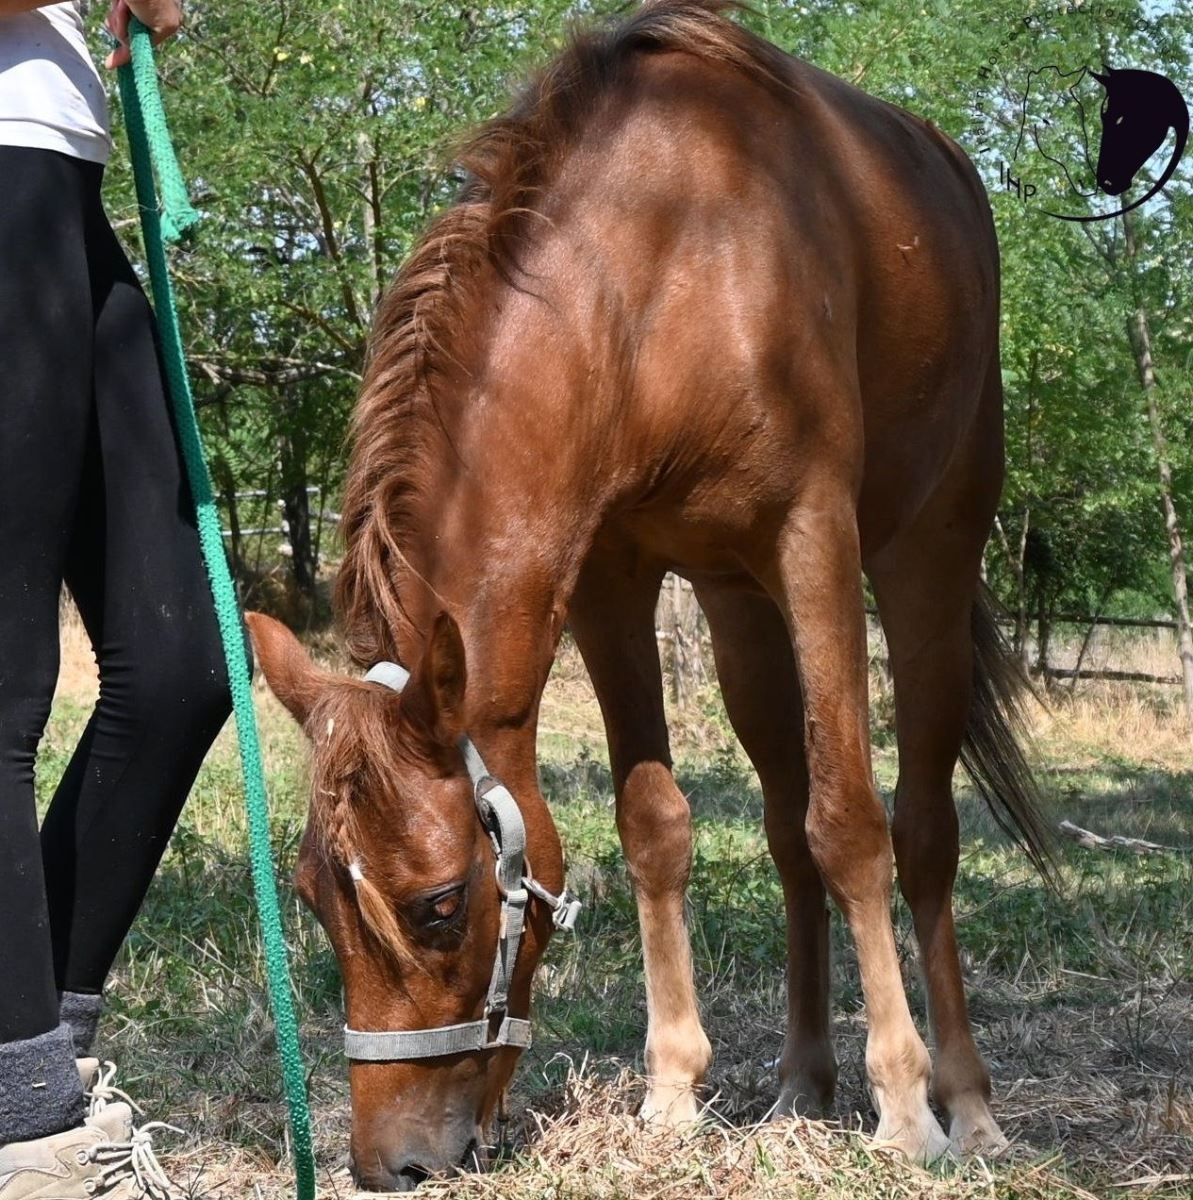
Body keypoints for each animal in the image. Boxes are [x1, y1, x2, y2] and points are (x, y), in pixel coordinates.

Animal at [247, 1, 1053, 1189]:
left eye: (438, 905)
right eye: (309, 894)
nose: (388, 1165)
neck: (660, 272)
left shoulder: (813, 540)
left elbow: (851, 825)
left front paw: (903, 1106)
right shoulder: (610, 579)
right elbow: (655, 825)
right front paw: (672, 1090)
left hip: (924, 566)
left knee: (917, 829)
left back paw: (967, 1103)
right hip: (735, 605)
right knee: (781, 829)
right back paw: (799, 1083)